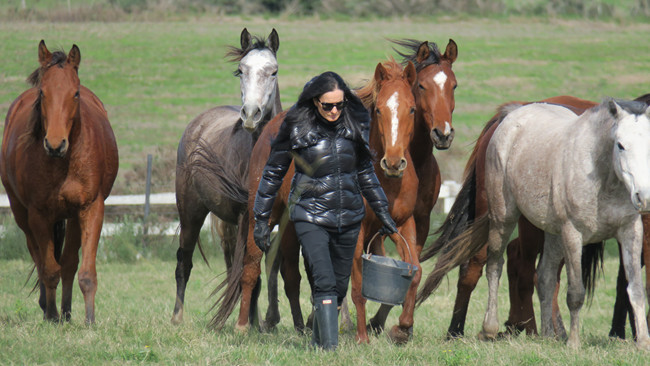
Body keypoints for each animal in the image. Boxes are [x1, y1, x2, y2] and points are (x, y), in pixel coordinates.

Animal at [0, 40, 118, 324]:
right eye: (43, 93)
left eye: (75, 94)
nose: (55, 144)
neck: (63, 163)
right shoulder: (38, 215)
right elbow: (49, 268)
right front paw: (51, 315)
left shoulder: (90, 209)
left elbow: (84, 271)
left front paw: (89, 320)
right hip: (22, 215)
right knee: (40, 259)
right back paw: (49, 309)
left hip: (72, 217)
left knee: (69, 263)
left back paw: (66, 312)